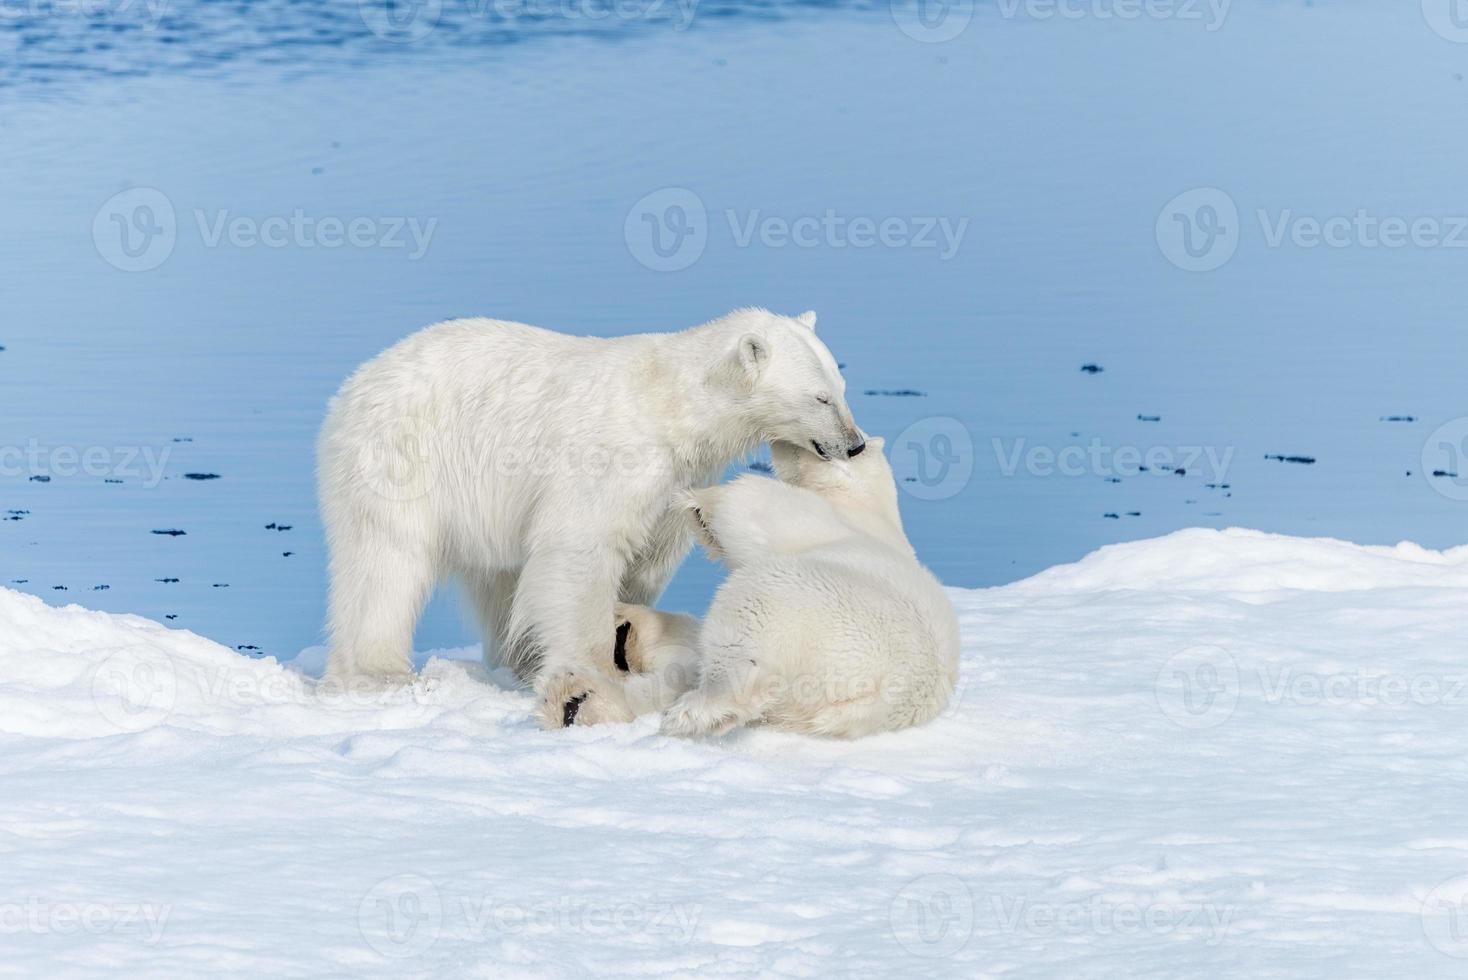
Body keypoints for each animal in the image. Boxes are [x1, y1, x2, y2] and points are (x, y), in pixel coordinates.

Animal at [317, 308, 863, 727]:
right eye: (820, 396)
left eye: (841, 385)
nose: (854, 444)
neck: (672, 402)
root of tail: (355, 384)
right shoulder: (613, 459)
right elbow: (581, 549)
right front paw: (593, 666)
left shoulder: (675, 479)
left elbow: (648, 558)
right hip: (403, 457)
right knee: (387, 560)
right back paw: (379, 670)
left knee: (498, 578)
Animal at [607, 440, 963, 739]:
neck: (867, 505)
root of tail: (893, 697)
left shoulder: (807, 514)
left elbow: (751, 501)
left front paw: (696, 501)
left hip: (807, 608)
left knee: (743, 629)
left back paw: (688, 712)